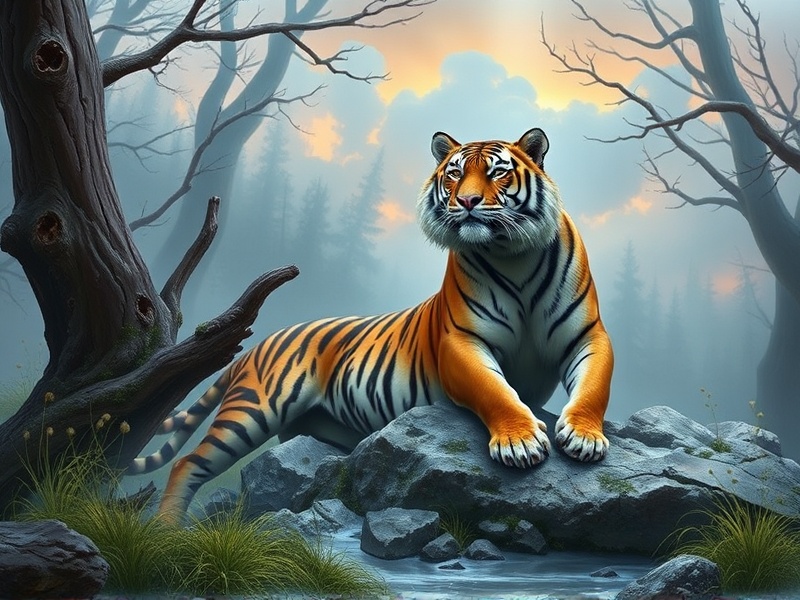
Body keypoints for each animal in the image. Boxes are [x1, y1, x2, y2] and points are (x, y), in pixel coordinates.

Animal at [129, 128, 614, 523]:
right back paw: (166, 531)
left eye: (497, 173)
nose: (467, 202)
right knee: (187, 463)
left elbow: (593, 386)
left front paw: (585, 438)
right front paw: (520, 442)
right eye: (454, 175)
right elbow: (495, 390)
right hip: (254, 409)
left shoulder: (589, 335)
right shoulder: (461, 341)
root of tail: (259, 343)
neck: (513, 256)